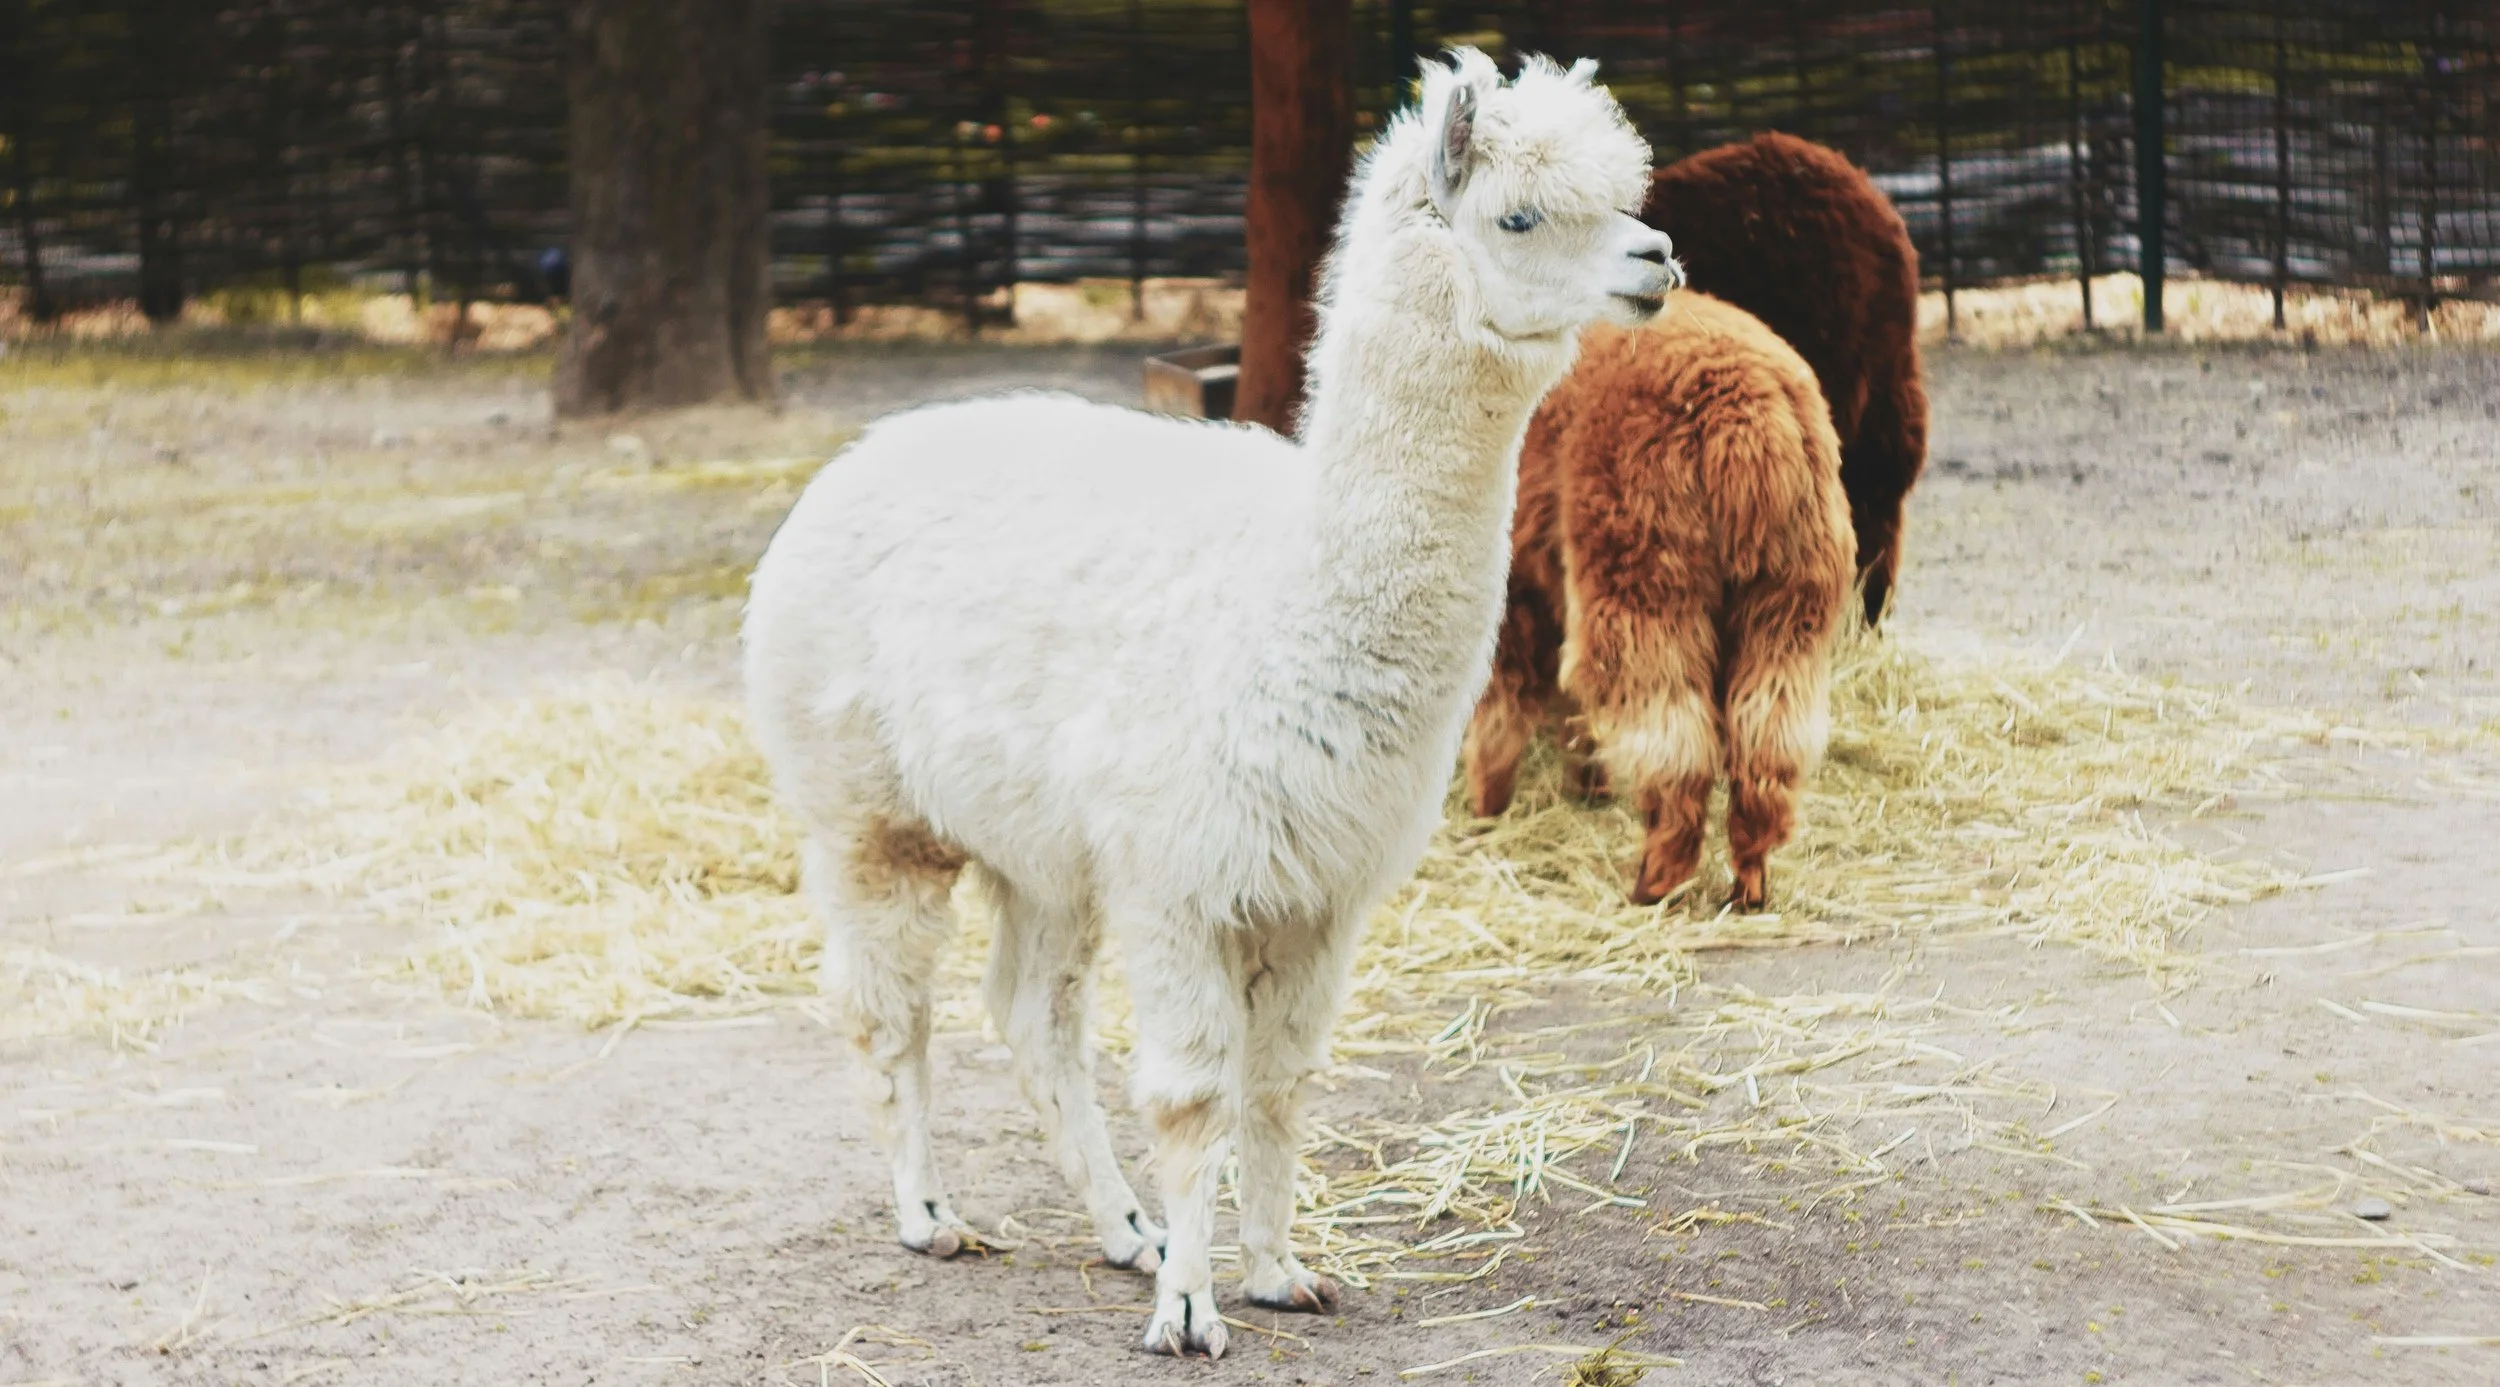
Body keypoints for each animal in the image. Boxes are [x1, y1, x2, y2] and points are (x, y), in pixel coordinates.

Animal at [741, 50, 1676, 1359]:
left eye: (1625, 195)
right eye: (1520, 218)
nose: (1659, 258)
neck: (1284, 605)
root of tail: (855, 457)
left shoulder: (1315, 891)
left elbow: (1277, 1085)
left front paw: (1279, 1271)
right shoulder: (1182, 876)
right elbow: (1193, 1096)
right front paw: (1189, 1311)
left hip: (1047, 848)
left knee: (1028, 1017)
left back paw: (1121, 1229)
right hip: (870, 811)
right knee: (890, 1009)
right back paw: (932, 1215)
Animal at [1462, 291, 1854, 911]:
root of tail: (1750, 419)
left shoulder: (1515, 584)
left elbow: (1502, 705)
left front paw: (1487, 813)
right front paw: (1586, 787)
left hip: (1645, 577)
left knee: (1673, 741)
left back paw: (1654, 883)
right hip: (1790, 595)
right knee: (1768, 743)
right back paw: (1748, 885)